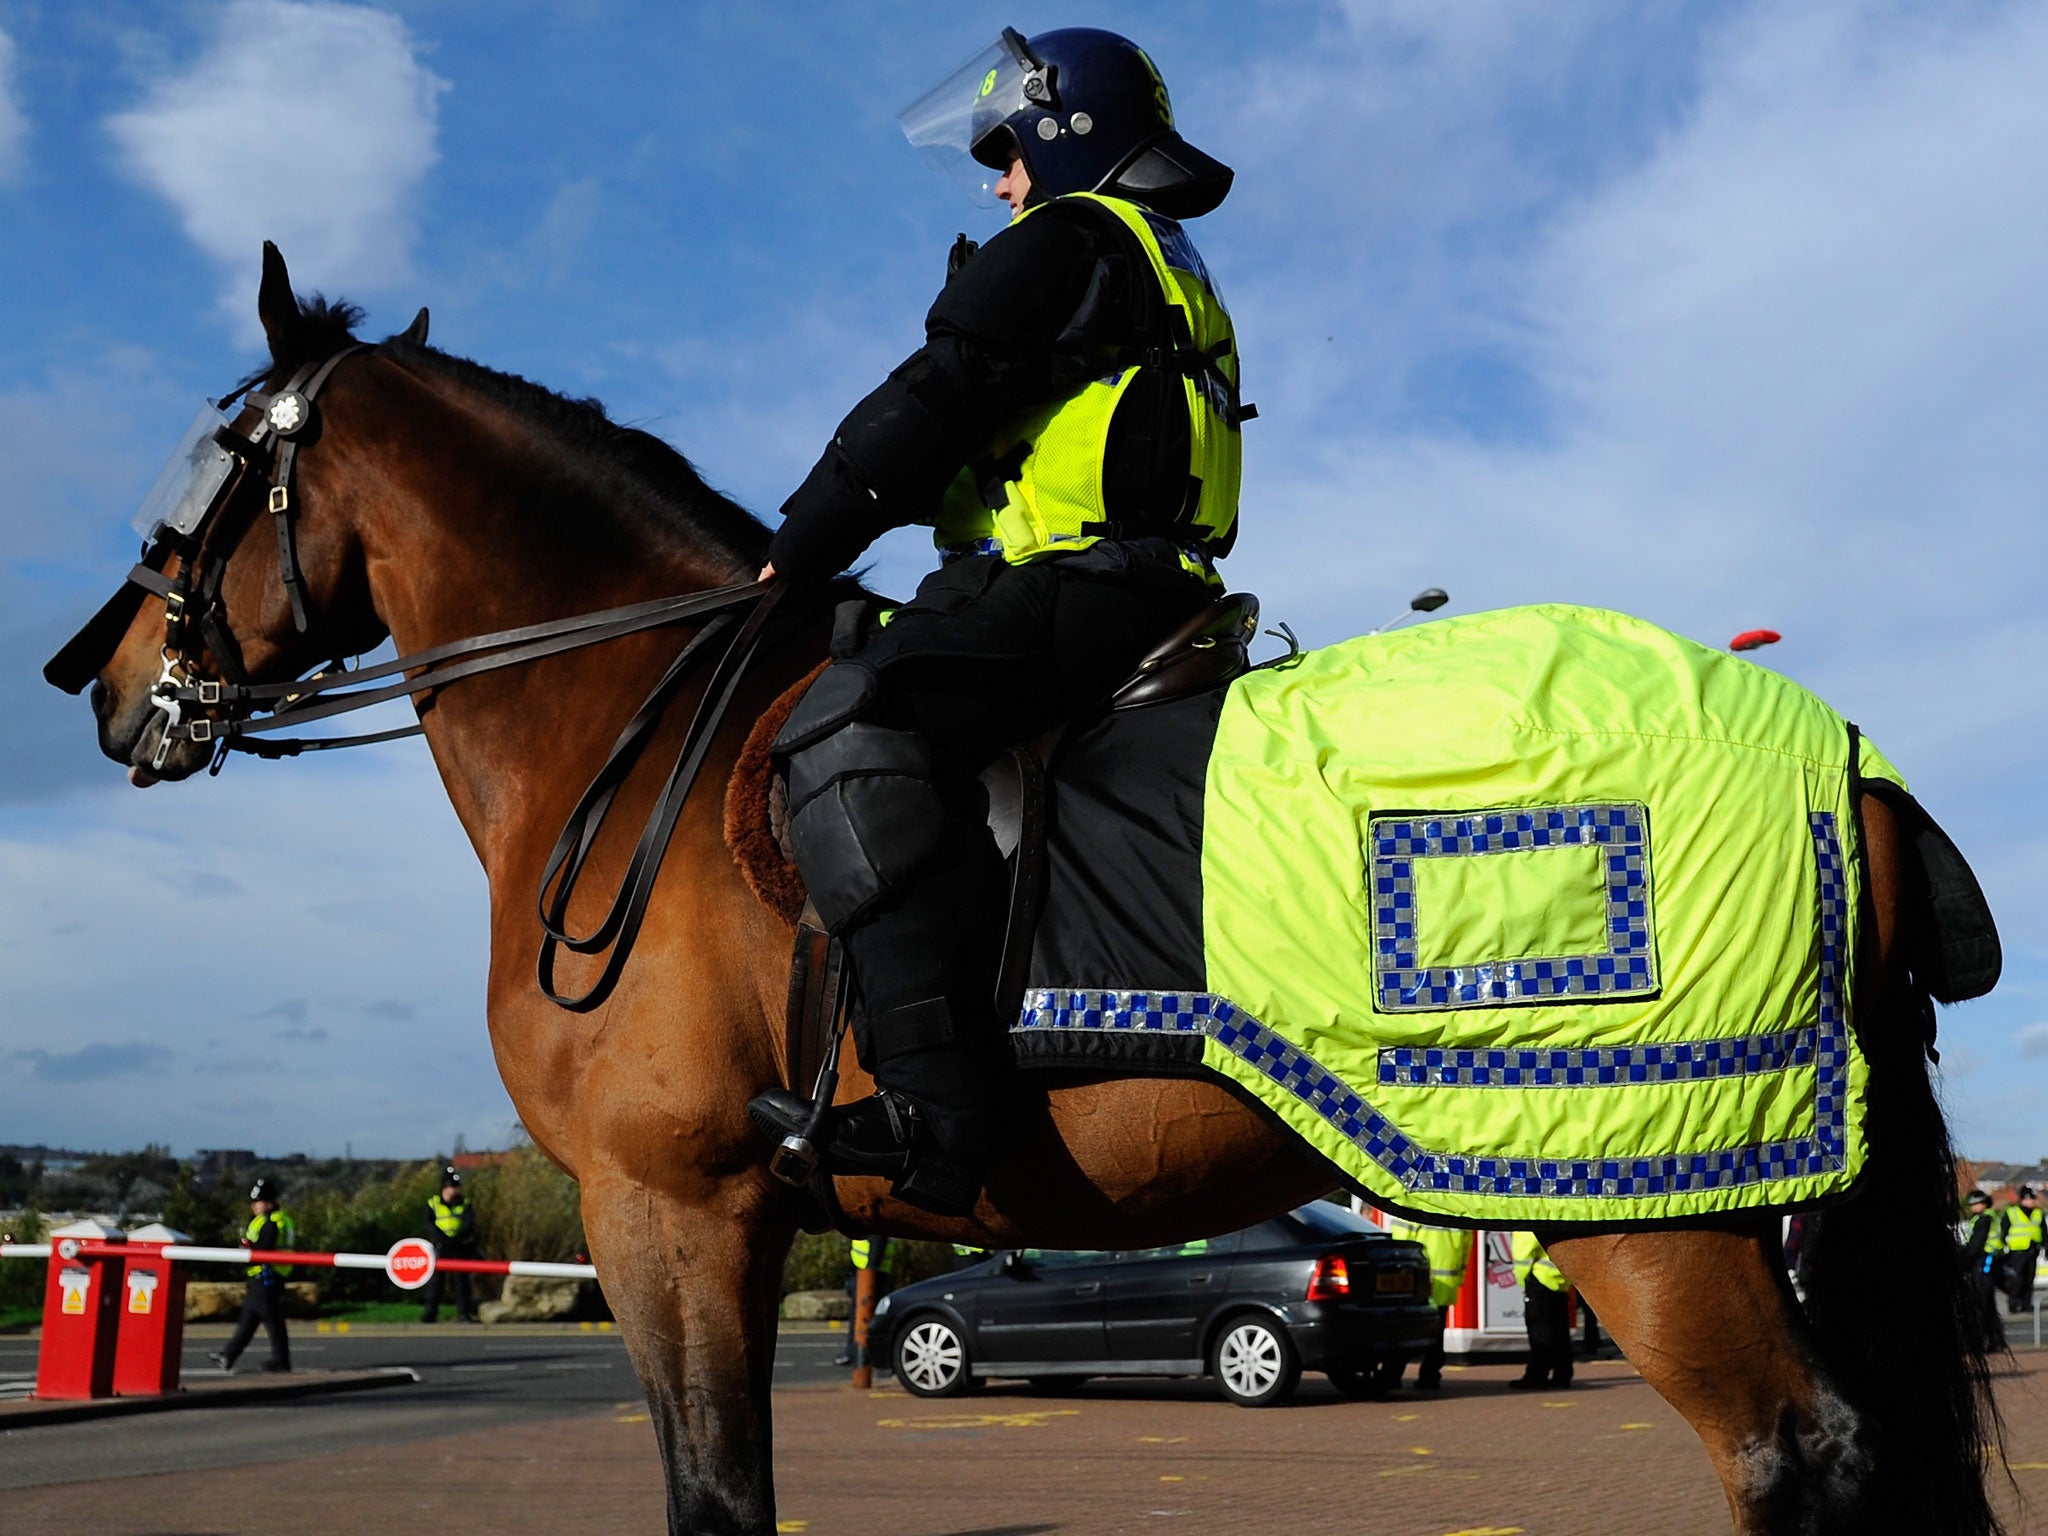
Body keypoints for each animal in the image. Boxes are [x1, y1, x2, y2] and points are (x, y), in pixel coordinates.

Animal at [56, 246, 2007, 1531]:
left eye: (204, 474)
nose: (94, 674)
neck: (629, 723)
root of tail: (1839, 749)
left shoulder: (665, 1206)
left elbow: (715, 1504)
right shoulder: (718, 1220)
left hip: (1642, 1200)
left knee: (1799, 1459)